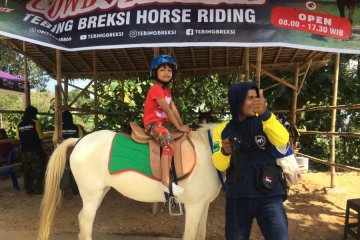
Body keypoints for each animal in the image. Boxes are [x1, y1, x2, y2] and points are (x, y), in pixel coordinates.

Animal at [38, 124, 221, 240]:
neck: (207, 153)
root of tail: (79, 141)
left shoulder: (204, 205)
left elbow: (201, 234)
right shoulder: (194, 206)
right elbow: (190, 236)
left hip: (100, 192)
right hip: (91, 195)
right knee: (85, 223)